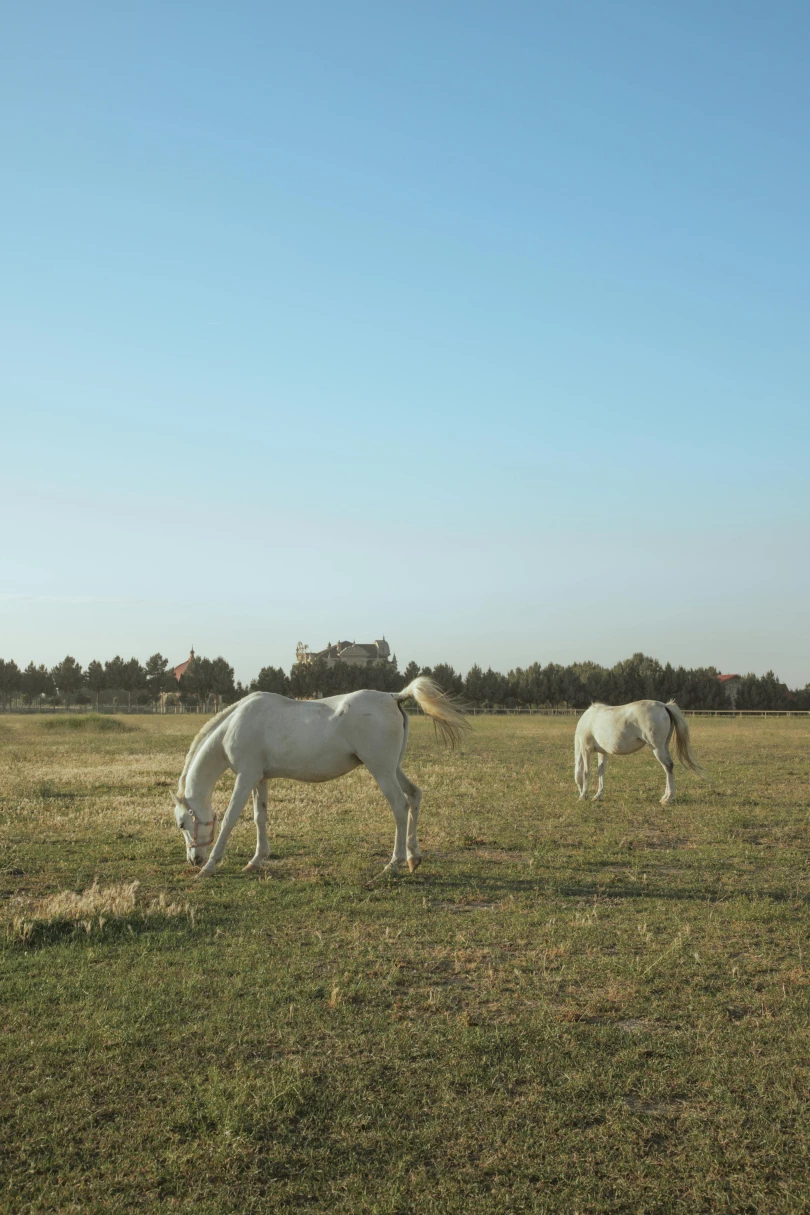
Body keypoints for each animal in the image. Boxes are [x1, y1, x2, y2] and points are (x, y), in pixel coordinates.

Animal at [171, 680, 468, 879]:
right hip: (393, 768)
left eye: (182, 823)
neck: (235, 724)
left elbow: (231, 819)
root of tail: (395, 697)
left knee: (400, 807)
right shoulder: (259, 778)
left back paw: (393, 864)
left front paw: (210, 866)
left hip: (382, 770)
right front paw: (257, 860)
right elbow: (259, 817)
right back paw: (413, 857)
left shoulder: (245, 778)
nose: (193, 859)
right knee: (415, 795)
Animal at [575, 704, 704, 806]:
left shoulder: (586, 749)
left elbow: (586, 772)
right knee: (667, 768)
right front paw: (598, 795)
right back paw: (665, 796)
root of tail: (665, 706)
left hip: (657, 748)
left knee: (668, 767)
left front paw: (583, 796)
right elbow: (601, 771)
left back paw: (668, 799)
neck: (588, 720)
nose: (580, 792)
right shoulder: (602, 752)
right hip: (664, 747)